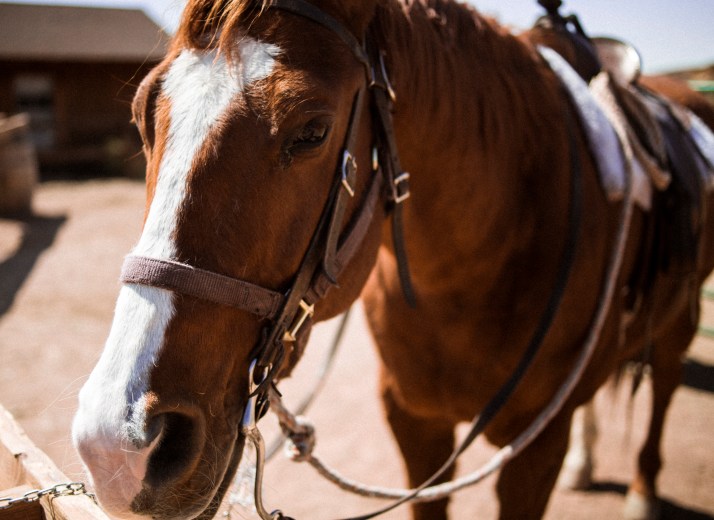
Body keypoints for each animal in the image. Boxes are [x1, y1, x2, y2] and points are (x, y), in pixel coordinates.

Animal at [71, 0, 714, 519]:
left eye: (312, 130)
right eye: (142, 113)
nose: (116, 447)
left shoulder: (535, 449)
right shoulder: (414, 423)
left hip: (678, 325)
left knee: (664, 388)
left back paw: (643, 490)